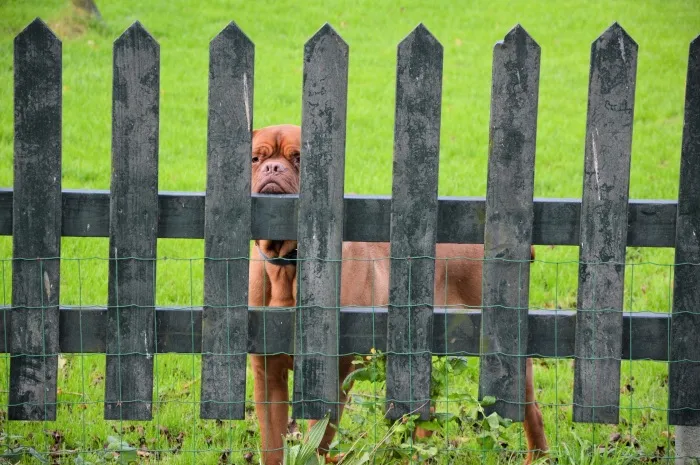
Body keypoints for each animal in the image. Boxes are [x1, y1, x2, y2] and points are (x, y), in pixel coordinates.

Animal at [249, 124, 548, 464]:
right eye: (256, 159)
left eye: (298, 159)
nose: (273, 168)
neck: (288, 265)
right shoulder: (267, 374)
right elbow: (272, 439)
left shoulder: (334, 375)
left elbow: (319, 437)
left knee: (529, 410)